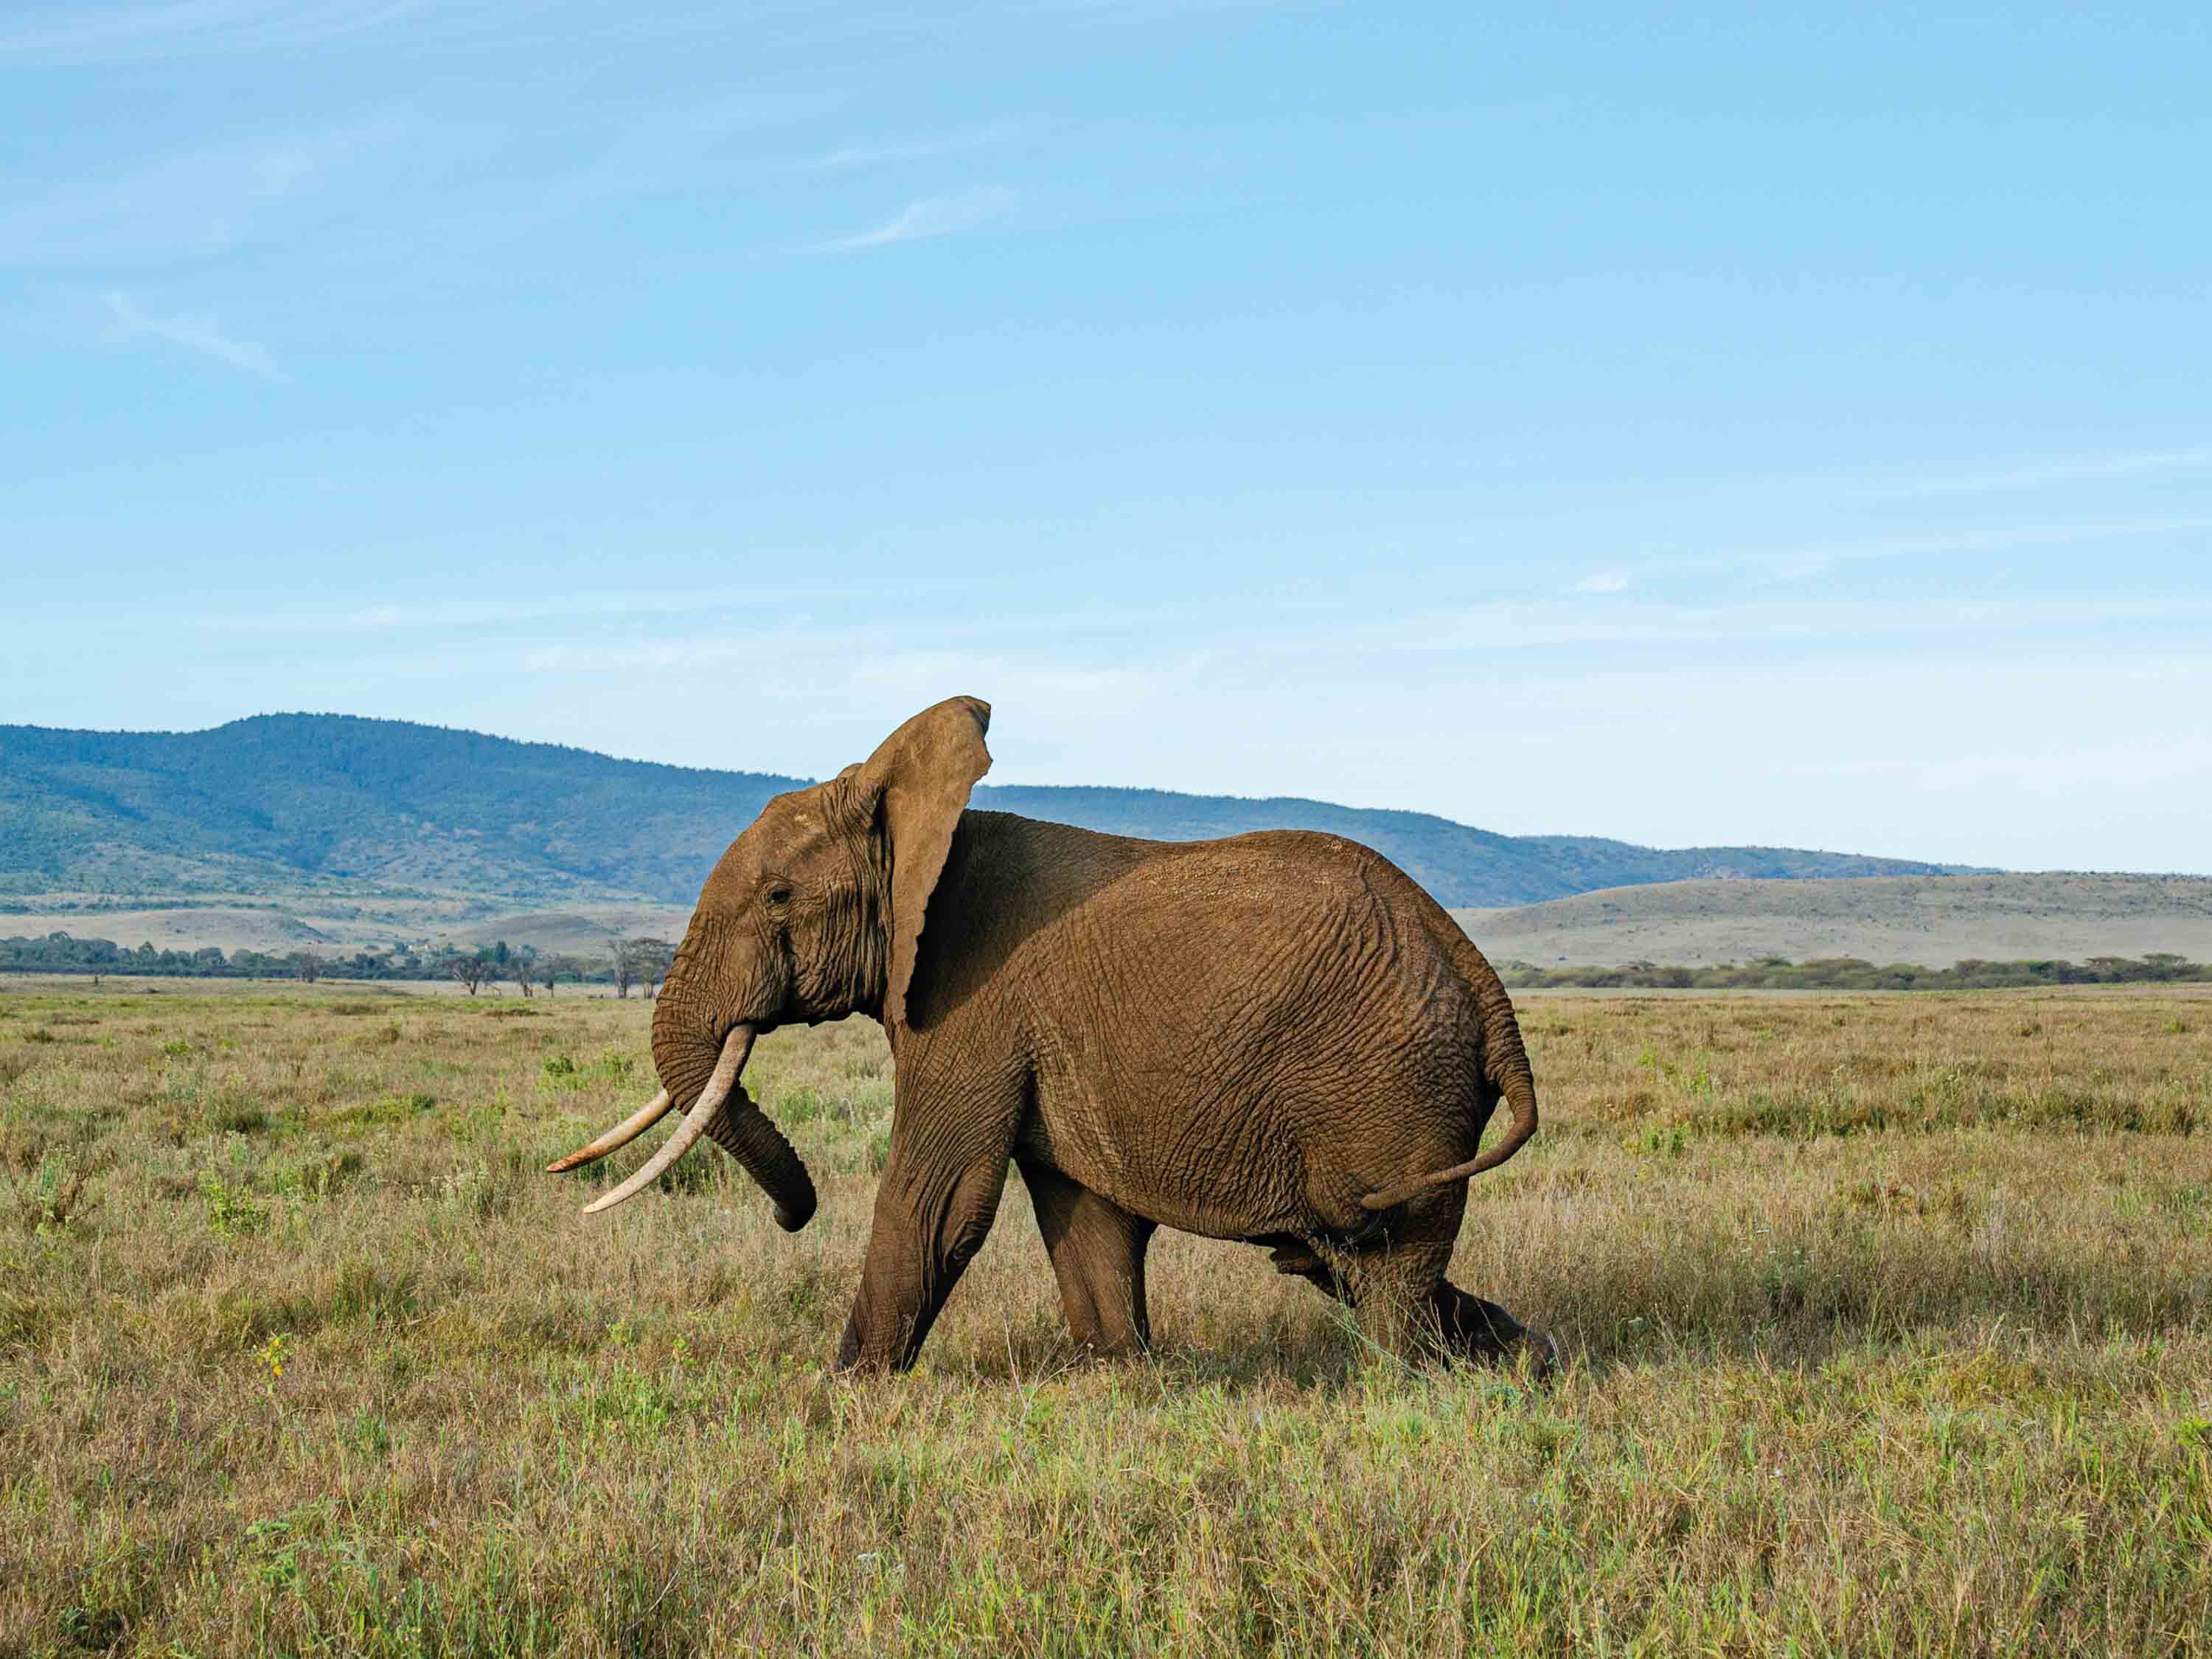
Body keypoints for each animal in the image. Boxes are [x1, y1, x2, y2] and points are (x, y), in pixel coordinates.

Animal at [549, 697, 1553, 1375]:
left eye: (779, 897)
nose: (789, 1216)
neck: (911, 819)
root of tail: (1486, 987)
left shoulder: (970, 1001)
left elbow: (936, 1199)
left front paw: (843, 1389)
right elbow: (1084, 1208)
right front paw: (1121, 1375)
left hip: (1393, 1089)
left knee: (1385, 1270)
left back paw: (1419, 1376)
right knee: (1361, 1261)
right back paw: (1521, 1356)